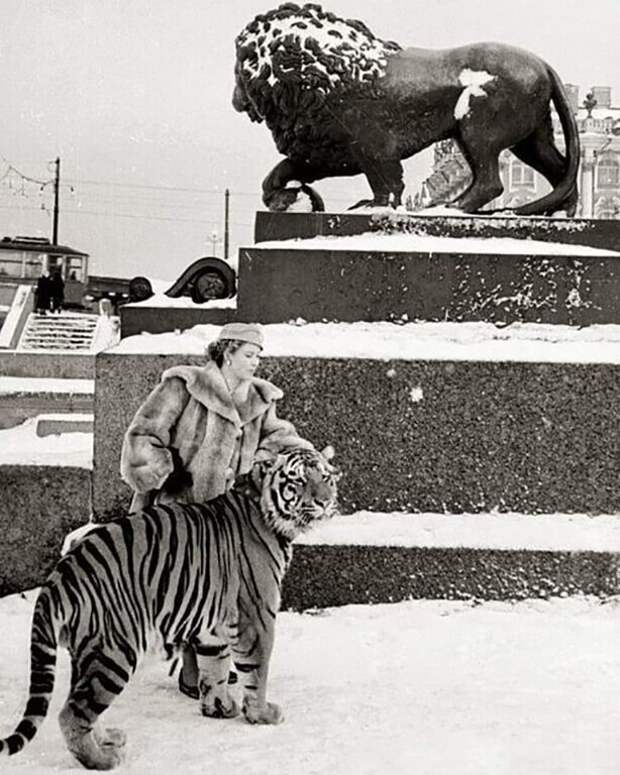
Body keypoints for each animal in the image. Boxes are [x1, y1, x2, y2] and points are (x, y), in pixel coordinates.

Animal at [0, 446, 340, 772]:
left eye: (325, 477)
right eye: (298, 480)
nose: (324, 502)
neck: (263, 504)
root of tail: (60, 573)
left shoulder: (214, 625)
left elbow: (214, 666)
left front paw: (219, 707)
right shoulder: (256, 617)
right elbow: (257, 671)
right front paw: (261, 714)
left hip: (87, 652)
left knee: (80, 702)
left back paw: (109, 739)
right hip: (114, 652)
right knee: (72, 712)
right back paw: (102, 761)